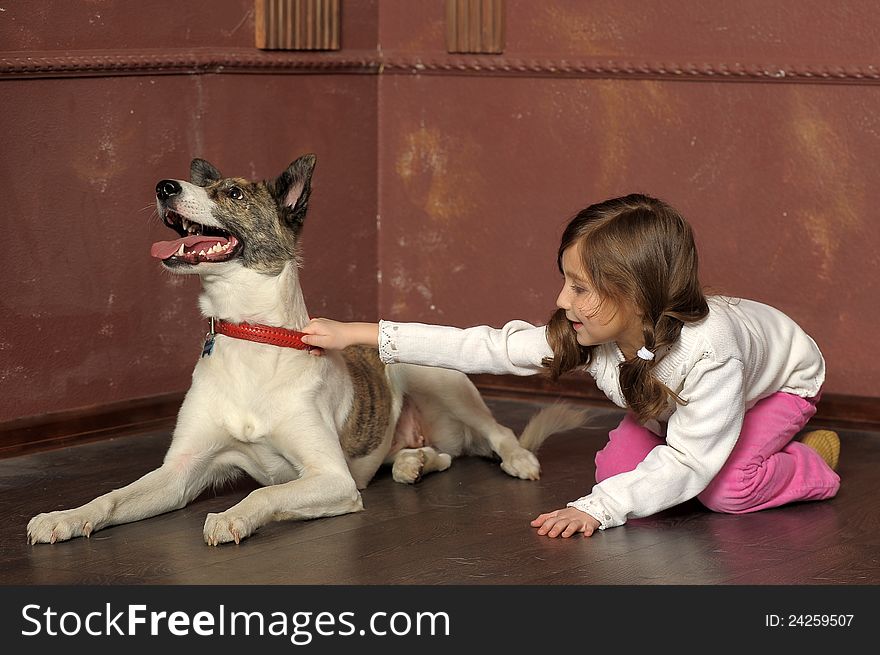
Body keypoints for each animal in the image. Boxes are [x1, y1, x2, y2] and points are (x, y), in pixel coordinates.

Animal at [27, 156, 592, 544]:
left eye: (232, 193)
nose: (164, 186)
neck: (253, 338)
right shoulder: (181, 473)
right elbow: (113, 497)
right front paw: (65, 517)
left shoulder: (331, 478)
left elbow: (265, 491)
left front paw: (230, 516)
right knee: (438, 456)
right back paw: (413, 461)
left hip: (439, 378)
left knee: (498, 432)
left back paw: (516, 459)